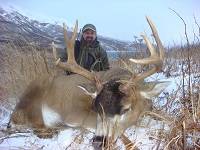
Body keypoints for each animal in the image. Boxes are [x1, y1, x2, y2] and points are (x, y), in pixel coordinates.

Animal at [9, 16, 169, 149]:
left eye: (126, 109)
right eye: (96, 108)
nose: (98, 141)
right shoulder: (76, 114)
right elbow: (128, 137)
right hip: (33, 105)